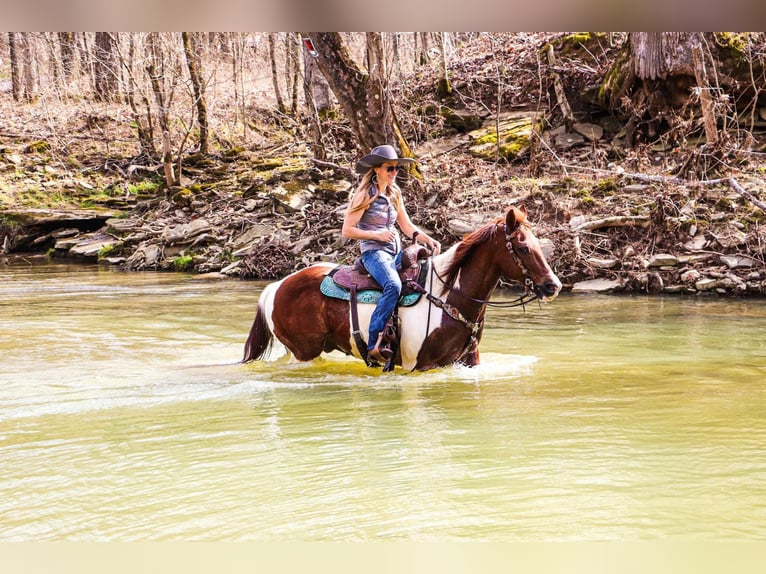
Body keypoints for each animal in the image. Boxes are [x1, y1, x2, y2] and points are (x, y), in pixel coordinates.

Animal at [244, 207, 564, 374]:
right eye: (523, 248)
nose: (554, 286)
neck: (448, 296)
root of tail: (276, 286)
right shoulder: (418, 367)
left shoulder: (468, 362)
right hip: (303, 353)